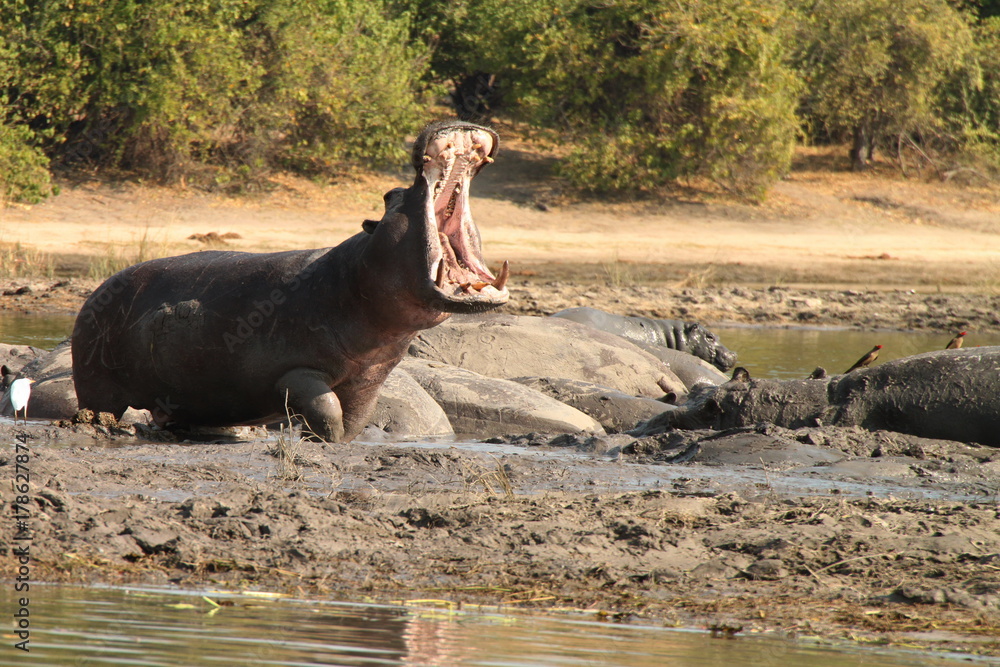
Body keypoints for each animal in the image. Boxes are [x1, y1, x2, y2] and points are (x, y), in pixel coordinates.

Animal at [71, 120, 509, 442]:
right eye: (390, 195)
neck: (355, 280)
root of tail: (96, 291)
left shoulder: (369, 378)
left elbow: (353, 422)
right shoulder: (299, 374)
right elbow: (328, 413)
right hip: (97, 381)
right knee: (98, 406)